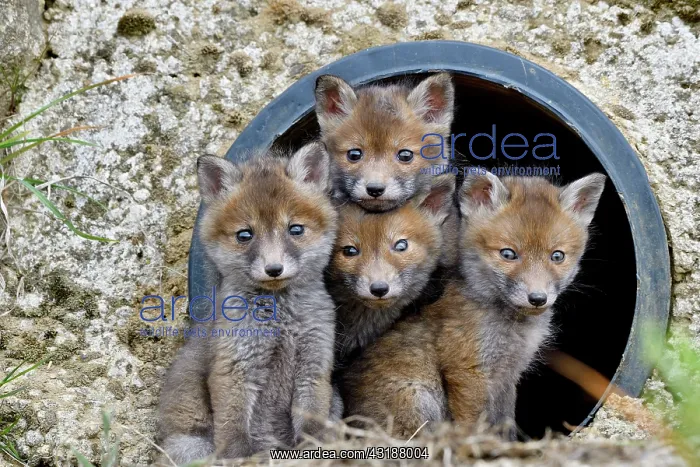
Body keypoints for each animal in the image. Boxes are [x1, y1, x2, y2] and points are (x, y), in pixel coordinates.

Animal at [156, 142, 338, 463]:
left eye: (295, 229)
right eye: (245, 235)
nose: (274, 269)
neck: (281, 321)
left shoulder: (315, 363)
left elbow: (313, 425)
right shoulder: (234, 367)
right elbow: (234, 432)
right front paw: (240, 459)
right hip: (191, 447)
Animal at [341, 172, 607, 439]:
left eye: (557, 256)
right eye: (508, 254)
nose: (537, 298)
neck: (511, 329)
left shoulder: (507, 377)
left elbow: (505, 422)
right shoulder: (468, 370)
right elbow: (474, 423)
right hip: (419, 397)